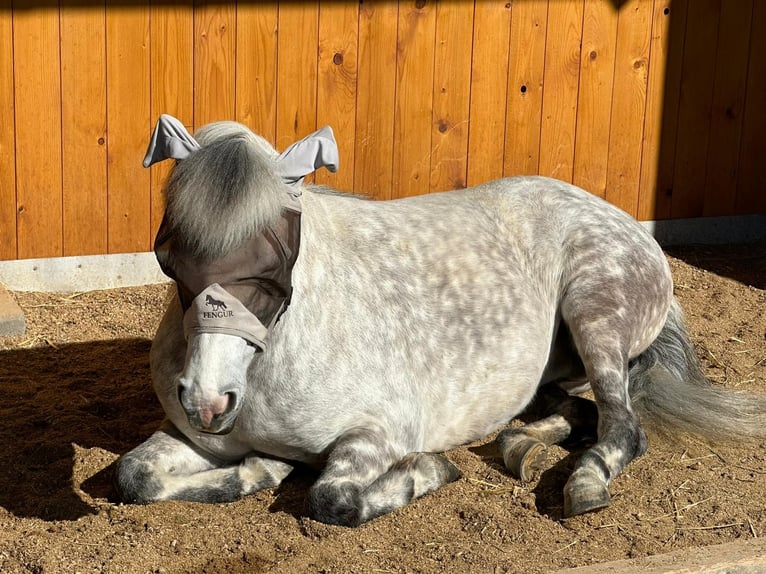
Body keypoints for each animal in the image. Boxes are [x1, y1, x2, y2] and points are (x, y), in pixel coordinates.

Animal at [114, 116, 766, 528]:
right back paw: (522, 445)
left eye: (273, 262)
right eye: (169, 258)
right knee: (579, 411)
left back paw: (583, 482)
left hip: (595, 316)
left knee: (623, 427)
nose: (208, 401)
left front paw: (426, 471)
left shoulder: (377, 433)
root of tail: (623, 219)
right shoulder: (192, 440)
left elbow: (333, 498)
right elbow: (133, 476)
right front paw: (262, 468)